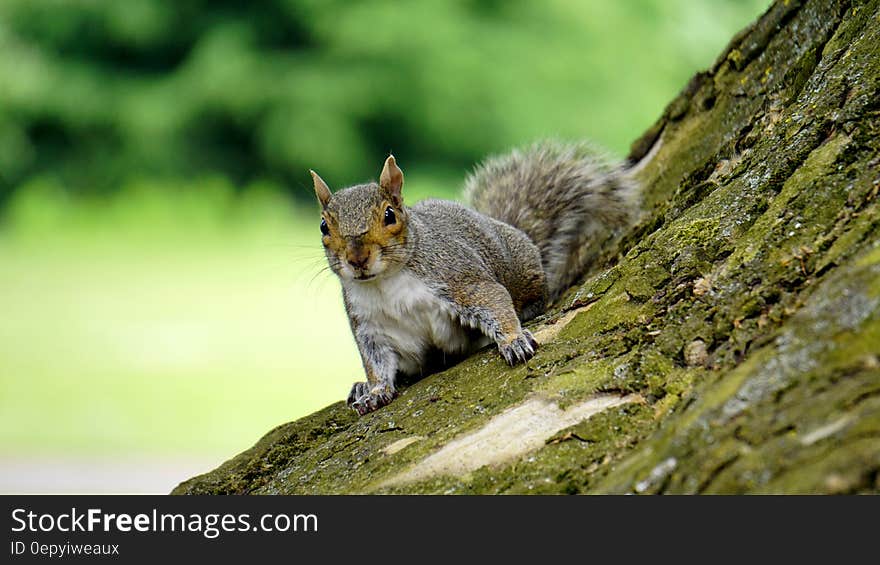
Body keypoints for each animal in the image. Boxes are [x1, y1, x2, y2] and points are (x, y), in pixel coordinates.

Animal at [310, 140, 640, 414]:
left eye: (390, 215)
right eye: (324, 226)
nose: (357, 258)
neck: (386, 282)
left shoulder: (458, 277)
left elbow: (493, 300)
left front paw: (513, 340)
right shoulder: (371, 326)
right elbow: (376, 362)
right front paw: (375, 390)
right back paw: (360, 387)